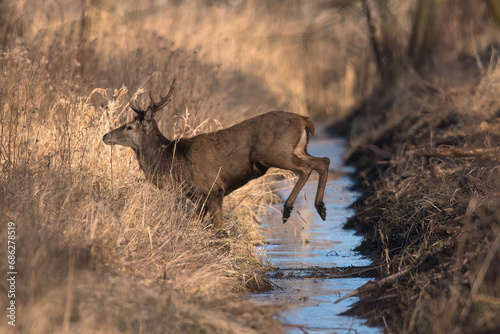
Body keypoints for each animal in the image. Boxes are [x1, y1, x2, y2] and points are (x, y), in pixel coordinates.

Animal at [103, 79, 330, 228]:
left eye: (129, 127)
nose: (106, 136)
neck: (173, 161)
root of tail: (303, 119)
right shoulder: (199, 198)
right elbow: (194, 223)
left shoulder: (213, 190)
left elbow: (218, 229)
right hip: (297, 149)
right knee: (323, 161)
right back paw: (320, 208)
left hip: (274, 153)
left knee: (306, 168)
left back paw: (288, 209)